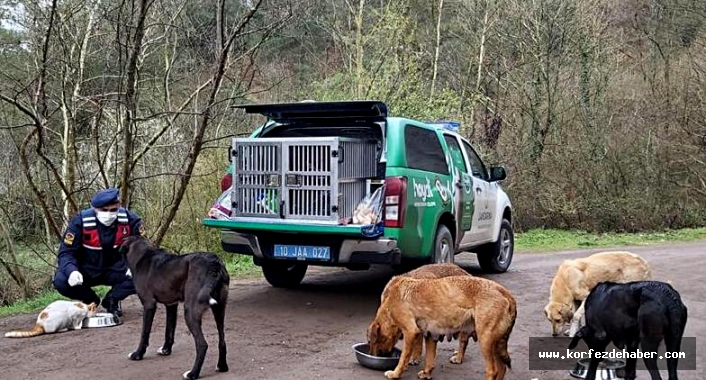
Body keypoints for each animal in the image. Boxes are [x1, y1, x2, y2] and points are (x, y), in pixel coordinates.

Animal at [120, 236, 228, 378]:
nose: (126, 275)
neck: (143, 255)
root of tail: (214, 263)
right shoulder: (171, 305)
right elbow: (169, 330)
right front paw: (166, 350)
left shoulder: (149, 304)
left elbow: (145, 333)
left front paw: (138, 354)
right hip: (219, 310)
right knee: (222, 340)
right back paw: (222, 366)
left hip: (190, 311)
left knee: (202, 344)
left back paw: (193, 373)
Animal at [366, 272, 516, 378]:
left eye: (370, 341)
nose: (372, 355)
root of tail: (506, 293)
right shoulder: (431, 335)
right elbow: (429, 360)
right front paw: (426, 374)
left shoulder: (410, 332)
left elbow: (403, 358)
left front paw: (395, 374)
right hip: (495, 343)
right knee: (502, 368)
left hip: (485, 339)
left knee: (492, 371)